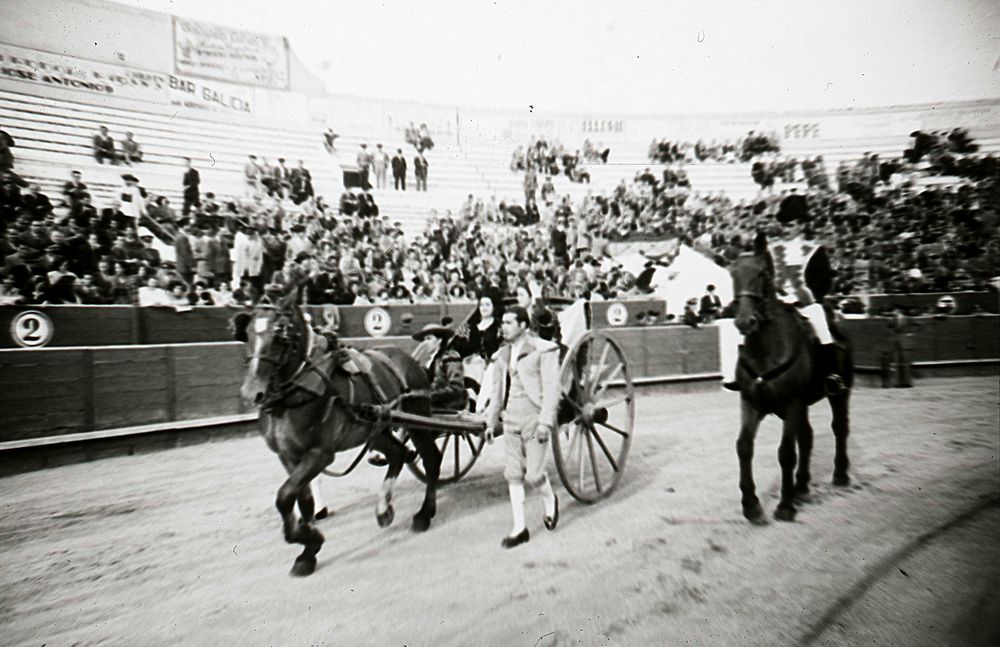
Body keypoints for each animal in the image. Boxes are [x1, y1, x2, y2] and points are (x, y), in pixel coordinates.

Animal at [234, 294, 442, 576]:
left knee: (430, 458)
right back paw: (383, 510)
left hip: (417, 421)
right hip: (376, 430)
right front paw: (308, 548)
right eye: (247, 333)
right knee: (399, 454)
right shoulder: (288, 456)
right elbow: (302, 500)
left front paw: (309, 539)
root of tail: (407, 357)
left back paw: (424, 514)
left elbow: (284, 497)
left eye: (280, 336)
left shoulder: (320, 454)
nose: (251, 392)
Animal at [728, 235, 852, 524]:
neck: (766, 350)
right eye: (733, 273)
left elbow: (785, 453)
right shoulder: (750, 403)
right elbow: (744, 447)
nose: (745, 322)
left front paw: (784, 506)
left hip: (840, 393)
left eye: (763, 273)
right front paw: (751, 505)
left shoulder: (792, 403)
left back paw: (840, 475)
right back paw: (802, 486)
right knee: (806, 436)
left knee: (839, 427)